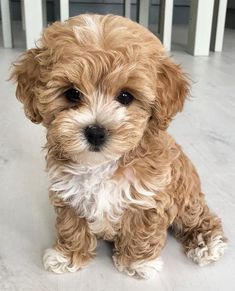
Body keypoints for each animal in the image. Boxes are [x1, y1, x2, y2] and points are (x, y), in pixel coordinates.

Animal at [11, 14, 226, 280]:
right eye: (72, 94)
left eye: (125, 97)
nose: (95, 131)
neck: (102, 164)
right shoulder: (69, 192)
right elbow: (71, 225)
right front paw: (68, 255)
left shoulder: (148, 197)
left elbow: (140, 231)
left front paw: (137, 262)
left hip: (186, 194)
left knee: (199, 217)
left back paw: (208, 242)